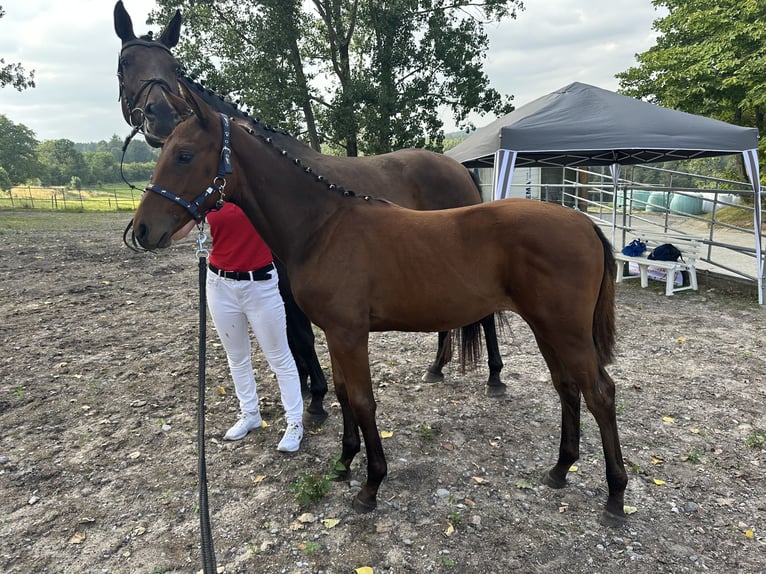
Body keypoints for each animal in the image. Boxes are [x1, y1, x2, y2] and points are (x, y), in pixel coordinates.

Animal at [113, 0, 507, 424]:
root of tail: (458, 167)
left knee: (485, 316)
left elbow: (300, 337)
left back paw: (495, 377)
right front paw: (306, 390)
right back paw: (436, 367)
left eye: (173, 66)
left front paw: (315, 398)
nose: (161, 116)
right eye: (126, 62)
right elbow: (293, 339)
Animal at [129, 88, 629, 525]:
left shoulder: (350, 334)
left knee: (600, 393)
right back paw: (560, 469)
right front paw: (344, 463)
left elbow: (364, 400)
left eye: (184, 154)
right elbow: (344, 393)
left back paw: (615, 497)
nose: (142, 230)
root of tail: (584, 223)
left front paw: (371, 486)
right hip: (548, 328)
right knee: (567, 387)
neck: (322, 227)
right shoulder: (334, 333)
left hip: (566, 331)